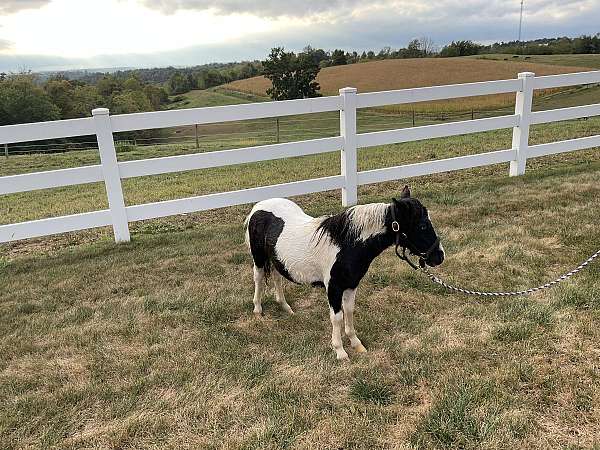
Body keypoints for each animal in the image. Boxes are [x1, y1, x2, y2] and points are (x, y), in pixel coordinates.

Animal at [245, 185, 446, 360]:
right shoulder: (333, 288)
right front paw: (340, 352)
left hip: (276, 259)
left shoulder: (351, 284)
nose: (439, 256)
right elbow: (337, 317)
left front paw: (356, 344)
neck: (345, 244)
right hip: (259, 258)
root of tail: (258, 207)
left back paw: (286, 307)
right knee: (259, 278)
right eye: (422, 226)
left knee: (277, 278)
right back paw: (258, 310)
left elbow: (348, 311)